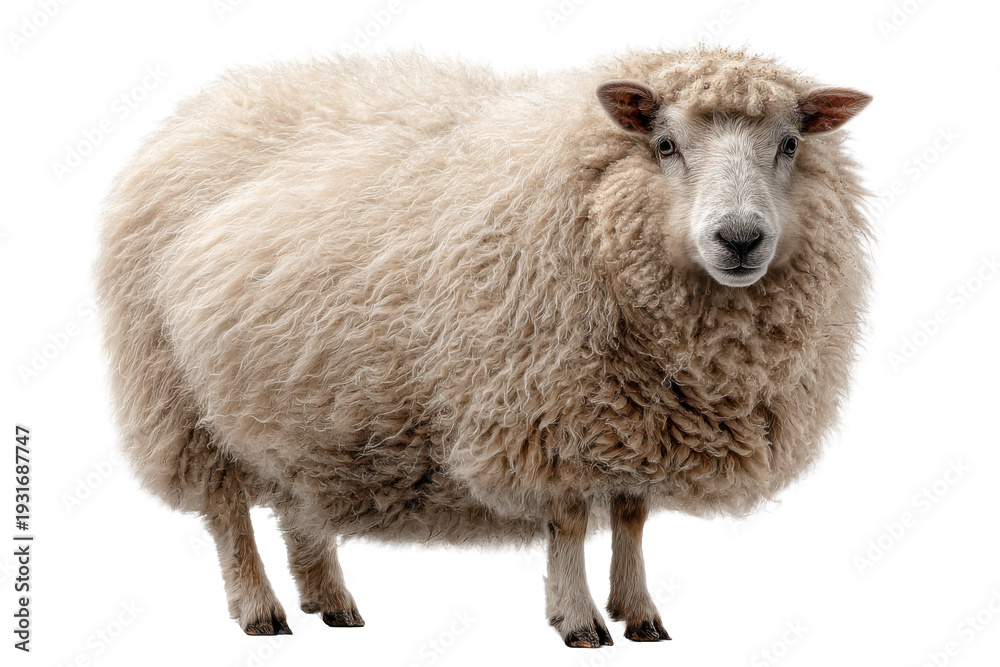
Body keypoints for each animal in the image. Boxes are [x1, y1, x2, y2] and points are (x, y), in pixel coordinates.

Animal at [96, 46, 872, 647]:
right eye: (665, 145)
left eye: (790, 144)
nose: (740, 239)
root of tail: (198, 110)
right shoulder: (545, 408)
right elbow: (569, 521)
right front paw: (579, 620)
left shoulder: (631, 412)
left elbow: (631, 515)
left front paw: (640, 612)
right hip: (178, 397)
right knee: (227, 512)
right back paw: (260, 610)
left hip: (292, 397)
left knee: (294, 497)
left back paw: (331, 601)